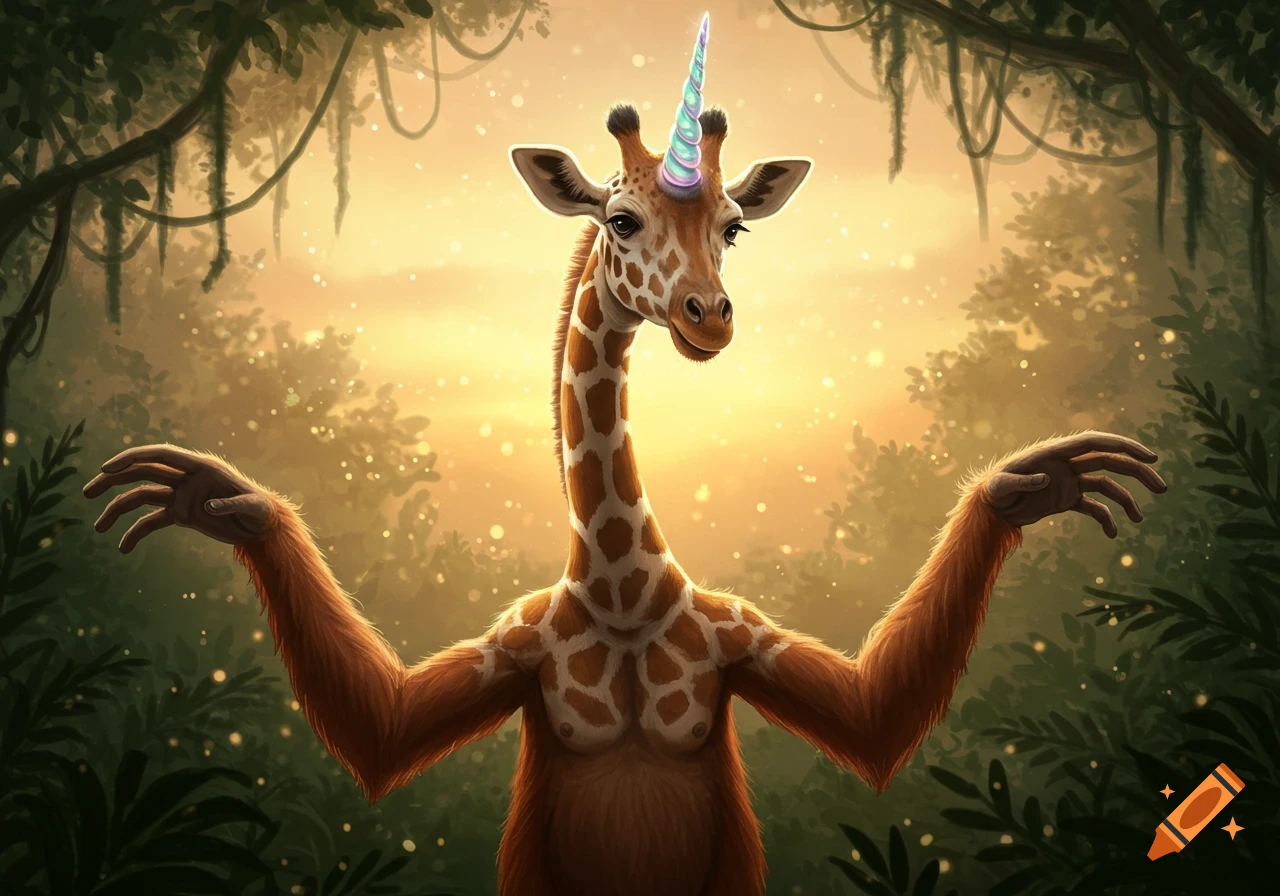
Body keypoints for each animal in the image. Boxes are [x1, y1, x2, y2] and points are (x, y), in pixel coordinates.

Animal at [83, 14, 1168, 896]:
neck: (623, 592)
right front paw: (213, 493)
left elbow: (875, 721)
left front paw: (1037, 479)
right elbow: (381, 735)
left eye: (734, 227)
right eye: (619, 218)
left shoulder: (741, 637)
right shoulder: (511, 646)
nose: (707, 317)